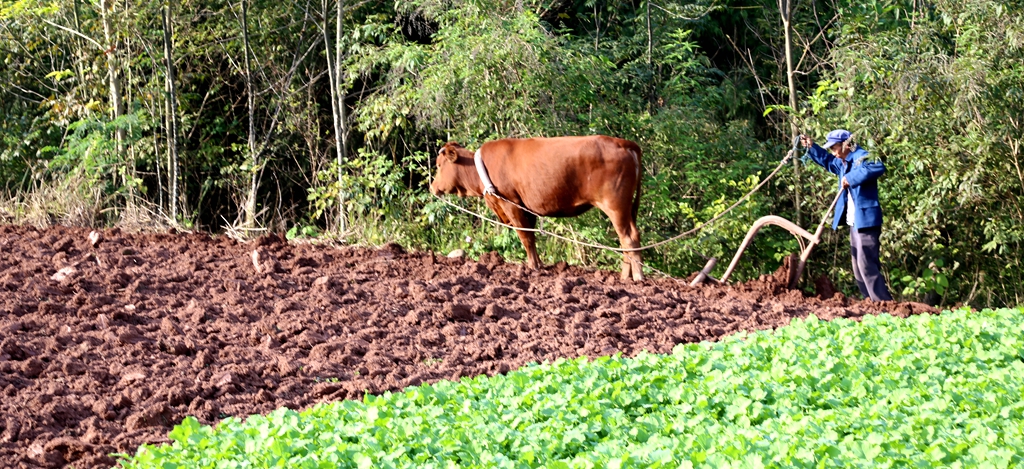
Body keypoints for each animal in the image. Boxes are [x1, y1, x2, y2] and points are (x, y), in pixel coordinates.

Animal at [428, 135, 643, 282]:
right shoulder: (526, 208)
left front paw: (531, 267)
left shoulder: (511, 203)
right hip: (626, 209)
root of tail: (623, 143)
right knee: (627, 239)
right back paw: (625, 276)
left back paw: (636, 277)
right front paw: (538, 264)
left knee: (628, 238)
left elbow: (525, 237)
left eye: (438, 165)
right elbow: (531, 236)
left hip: (615, 206)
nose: (432, 186)